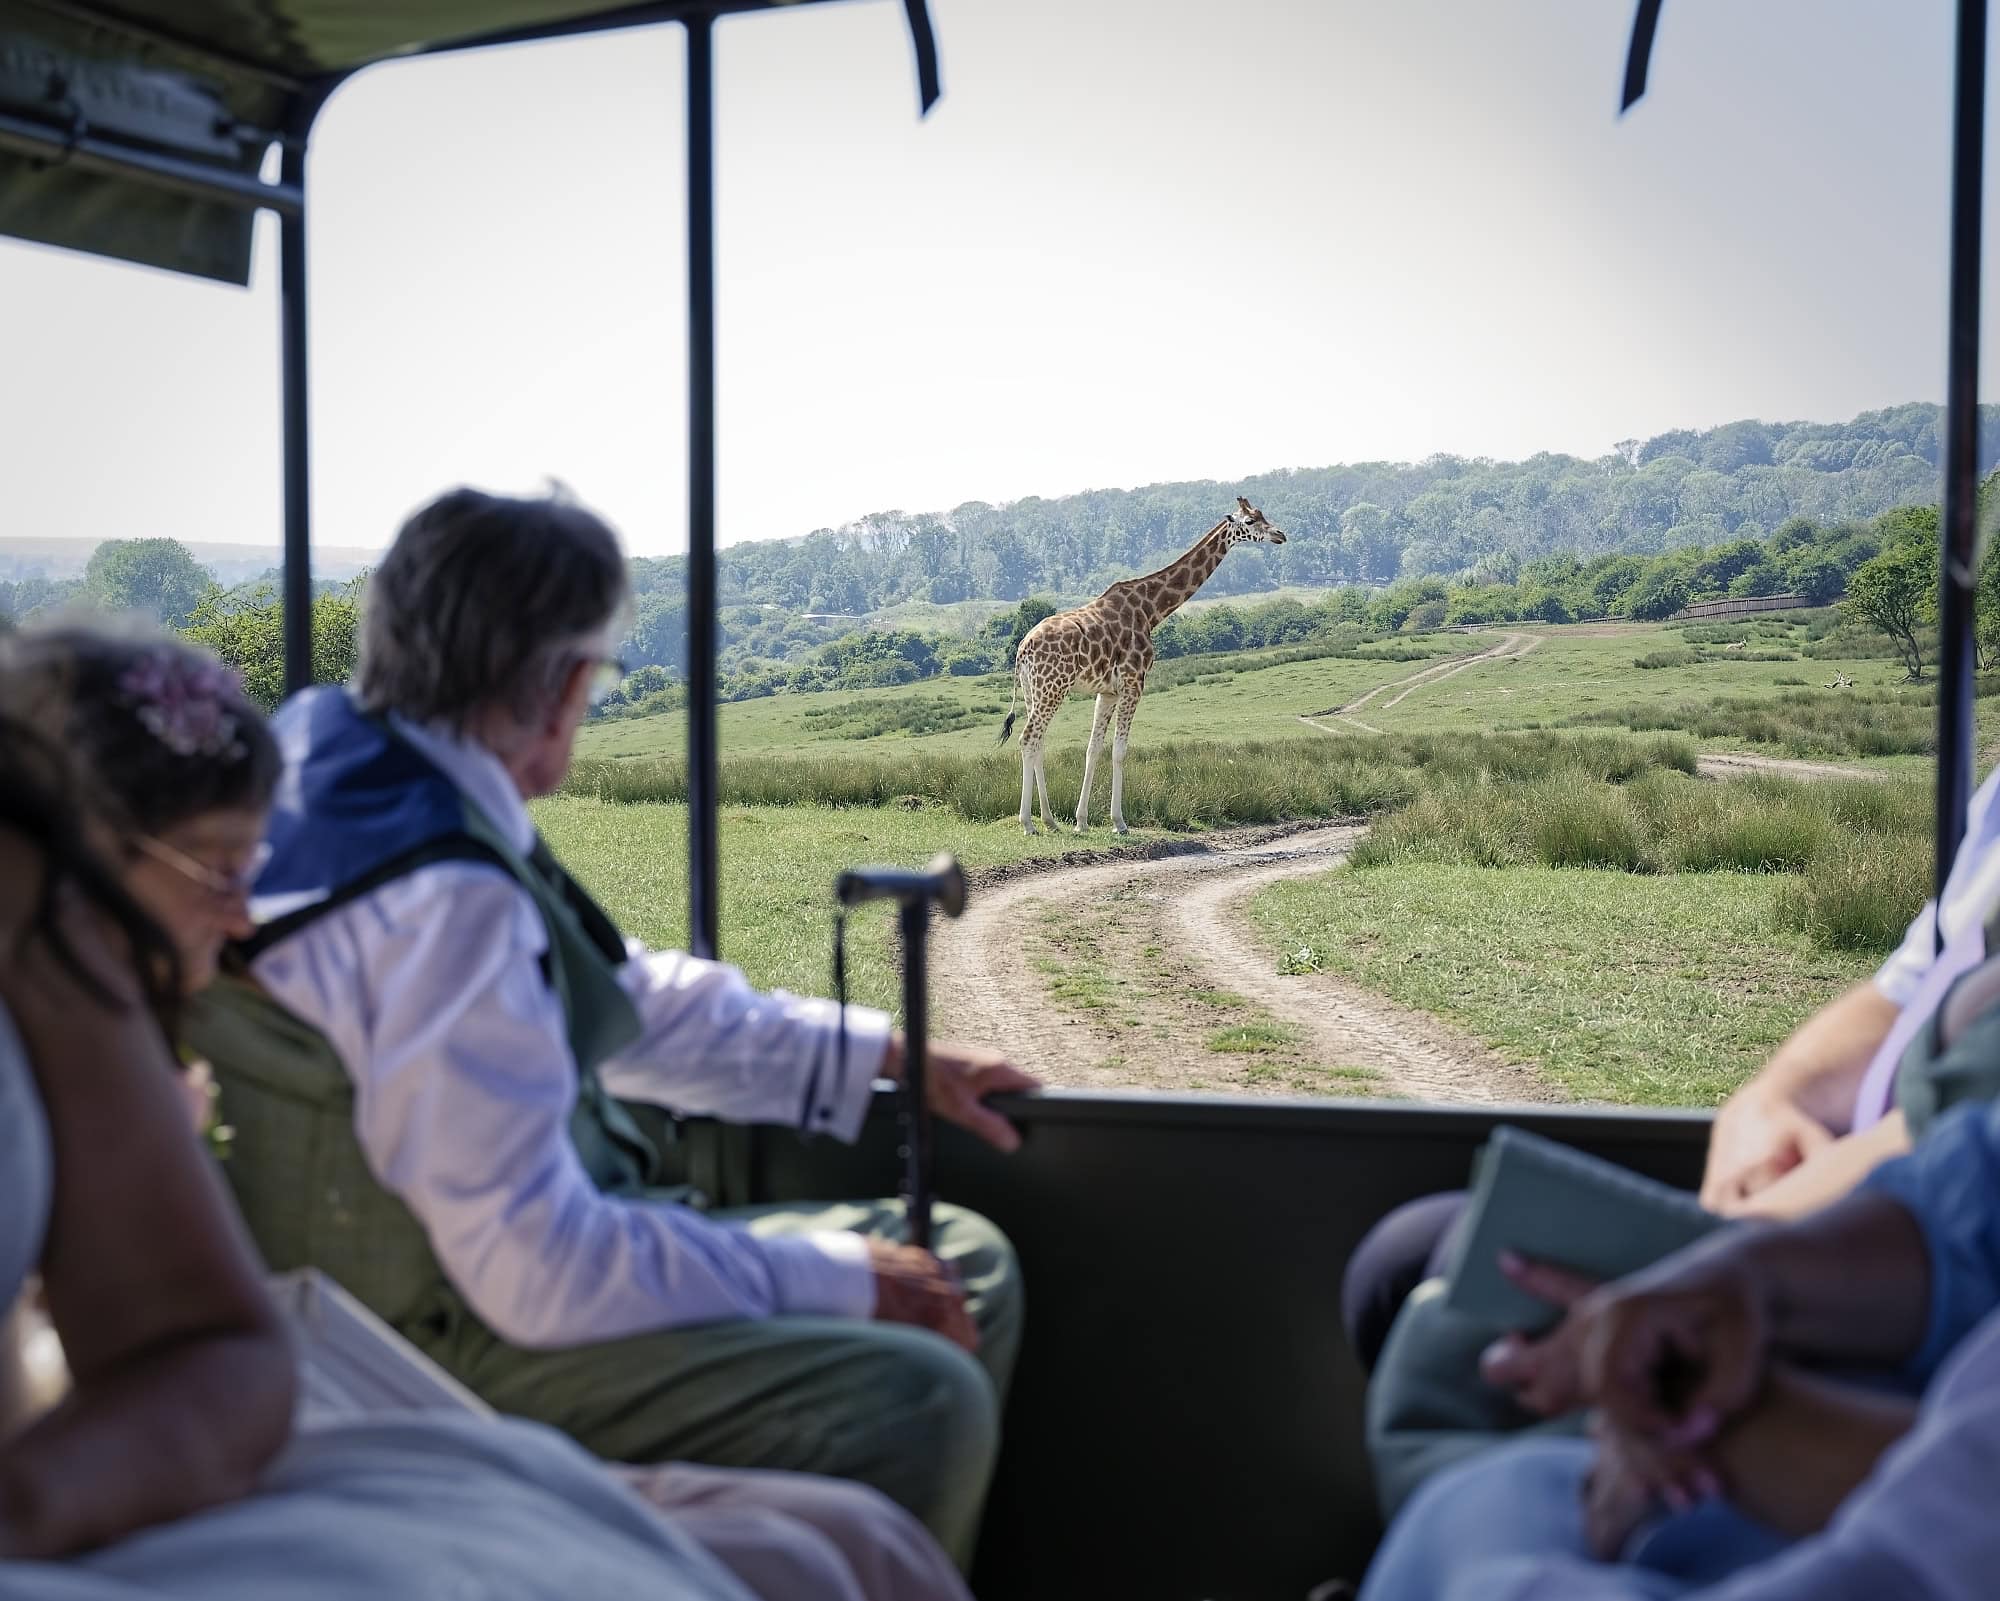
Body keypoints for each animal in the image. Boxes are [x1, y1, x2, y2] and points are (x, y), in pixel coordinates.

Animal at [997, 498, 1288, 835]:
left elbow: (1093, 749)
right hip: (1053, 688)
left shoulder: (1107, 691)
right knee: (1028, 738)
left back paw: (1050, 820)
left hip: (1035, 692)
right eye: (1250, 521)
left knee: (1038, 742)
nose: (1280, 535)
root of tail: (1022, 650)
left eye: (1263, 515)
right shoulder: (1135, 682)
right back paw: (1028, 823)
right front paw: (1119, 822)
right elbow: (1120, 751)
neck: (1151, 610)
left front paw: (1081, 822)